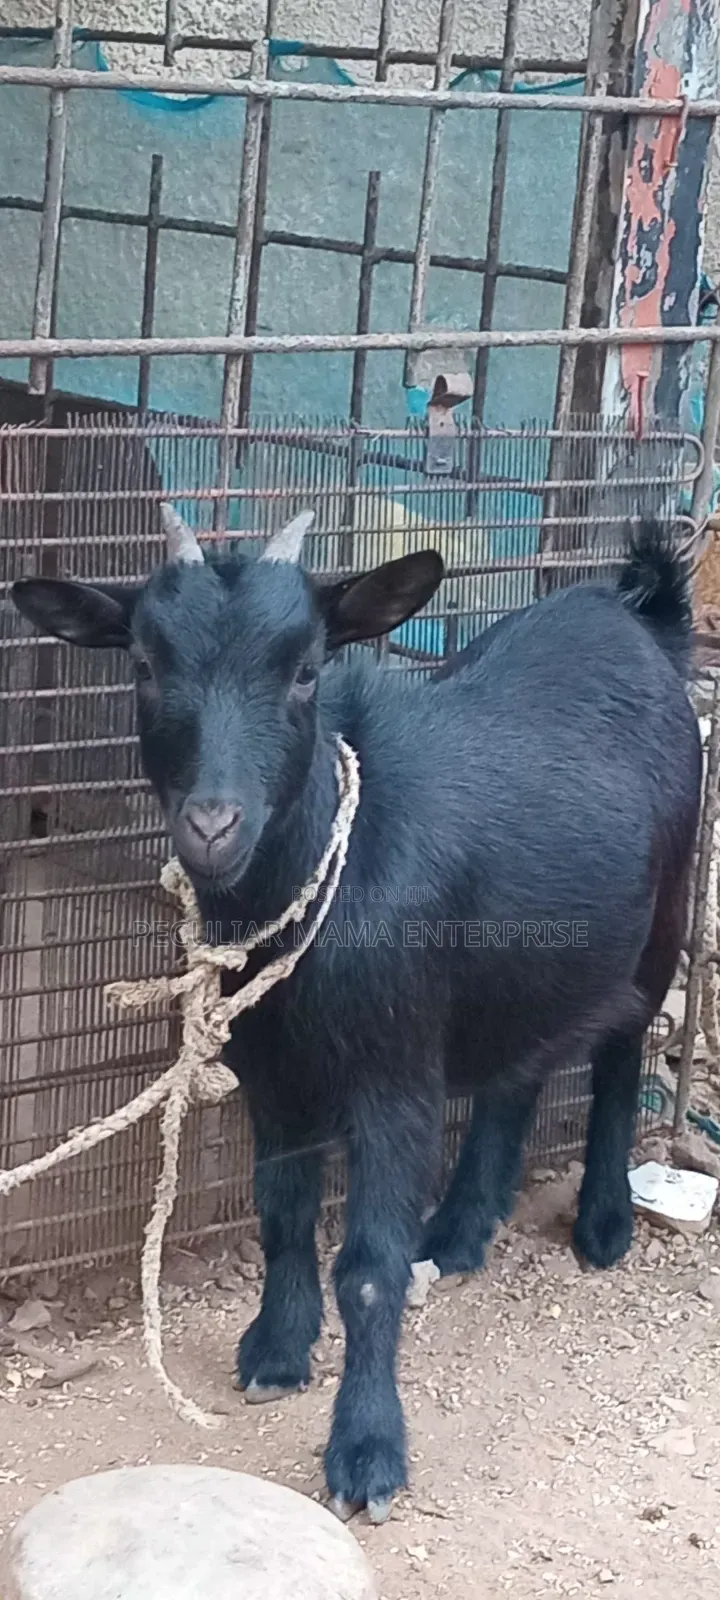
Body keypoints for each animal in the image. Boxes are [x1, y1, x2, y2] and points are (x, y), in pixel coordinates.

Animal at [11, 512, 702, 1524]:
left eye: (305, 670)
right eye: (142, 663)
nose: (213, 825)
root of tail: (642, 616)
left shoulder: (394, 1074)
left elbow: (369, 1266)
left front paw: (367, 1453)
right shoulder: (274, 1072)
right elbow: (283, 1211)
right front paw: (274, 1349)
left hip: (663, 914)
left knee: (620, 1051)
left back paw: (604, 1224)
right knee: (519, 1068)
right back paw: (458, 1232)